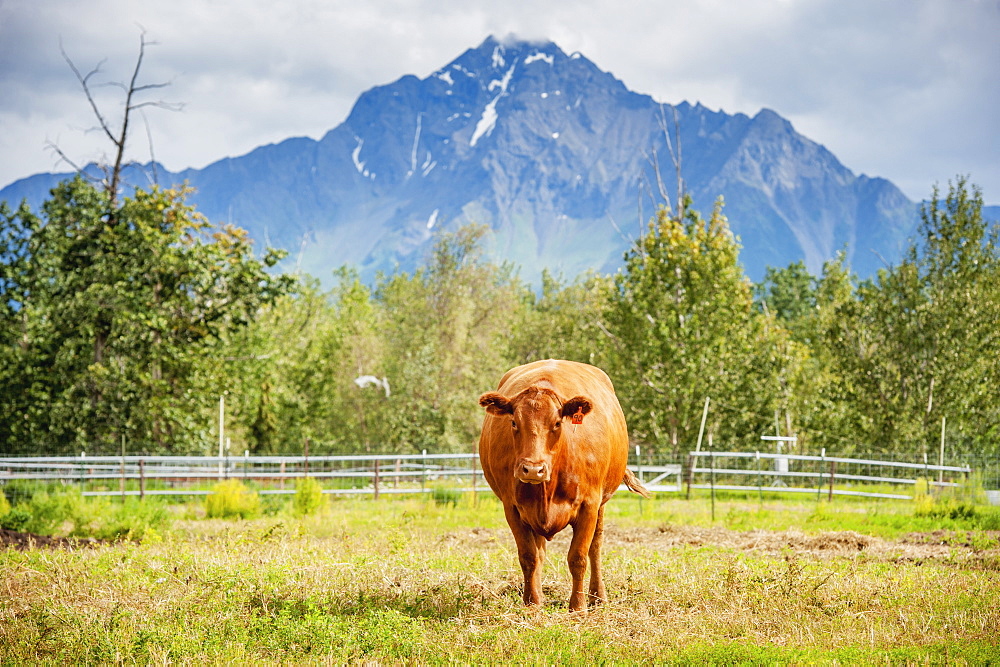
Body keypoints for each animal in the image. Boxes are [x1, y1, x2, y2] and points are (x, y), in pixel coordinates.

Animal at [476, 360, 648, 612]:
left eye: (557, 423)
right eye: (514, 422)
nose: (533, 469)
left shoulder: (589, 505)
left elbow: (578, 557)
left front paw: (578, 607)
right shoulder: (513, 508)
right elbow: (529, 557)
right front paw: (532, 604)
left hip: (602, 504)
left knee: (596, 548)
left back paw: (598, 597)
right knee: (539, 553)